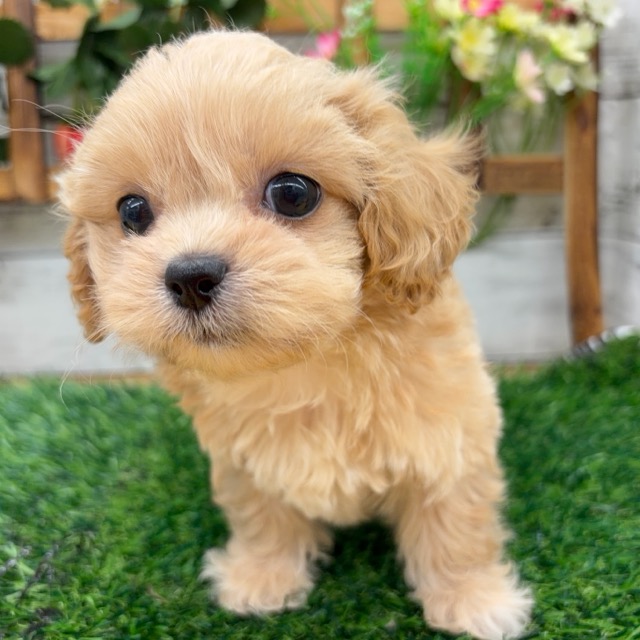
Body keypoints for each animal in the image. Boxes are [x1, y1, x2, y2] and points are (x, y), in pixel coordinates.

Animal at [59, 30, 532, 639]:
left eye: (292, 193)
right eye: (133, 211)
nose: (190, 276)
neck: (306, 363)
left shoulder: (451, 435)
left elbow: (456, 522)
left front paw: (475, 600)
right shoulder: (242, 461)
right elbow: (263, 516)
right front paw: (263, 577)